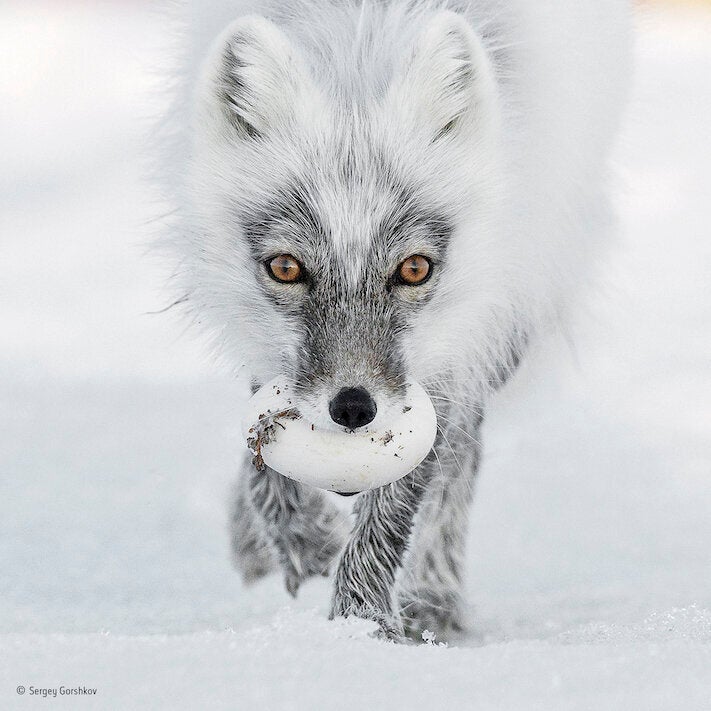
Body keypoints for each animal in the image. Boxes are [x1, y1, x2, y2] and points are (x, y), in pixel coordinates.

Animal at [160, 0, 628, 644]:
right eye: (286, 267)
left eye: (413, 268)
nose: (354, 408)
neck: (359, 48)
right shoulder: (265, 346)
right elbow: (265, 460)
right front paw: (305, 543)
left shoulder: (451, 353)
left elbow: (399, 505)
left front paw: (363, 630)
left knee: (461, 460)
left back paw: (433, 600)